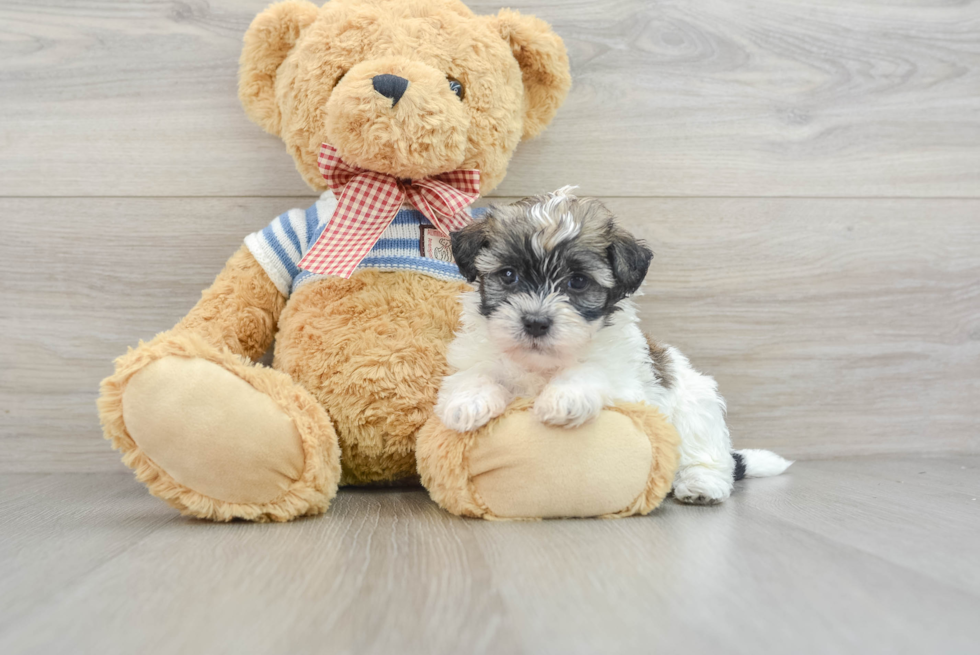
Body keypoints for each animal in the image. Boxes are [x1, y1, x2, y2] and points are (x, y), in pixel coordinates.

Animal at [440, 187, 792, 504]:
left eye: (578, 282)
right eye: (509, 275)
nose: (536, 322)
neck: (544, 363)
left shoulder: (628, 385)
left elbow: (593, 371)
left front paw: (565, 396)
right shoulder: (477, 354)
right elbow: (476, 372)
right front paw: (468, 402)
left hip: (697, 406)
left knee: (709, 456)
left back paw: (701, 485)